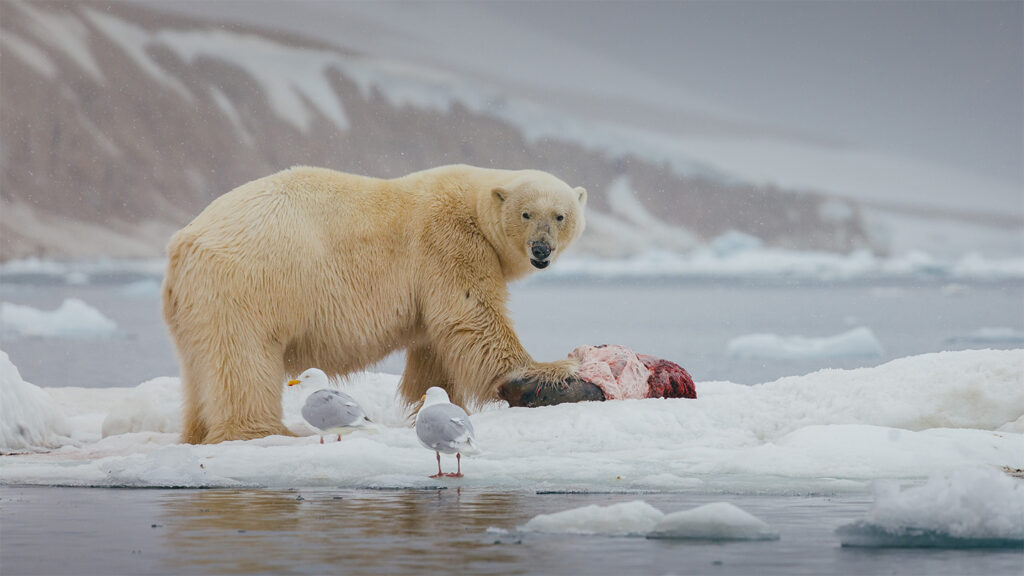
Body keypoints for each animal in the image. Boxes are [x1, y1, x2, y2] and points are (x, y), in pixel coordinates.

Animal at [162, 164, 587, 444]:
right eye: (526, 213)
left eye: (560, 215)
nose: (541, 249)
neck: (471, 201)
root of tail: (183, 244)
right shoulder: (449, 242)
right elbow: (471, 313)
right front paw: (548, 373)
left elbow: (434, 347)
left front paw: (436, 405)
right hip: (248, 285)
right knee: (243, 361)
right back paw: (263, 431)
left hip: (195, 305)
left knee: (200, 367)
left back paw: (196, 432)